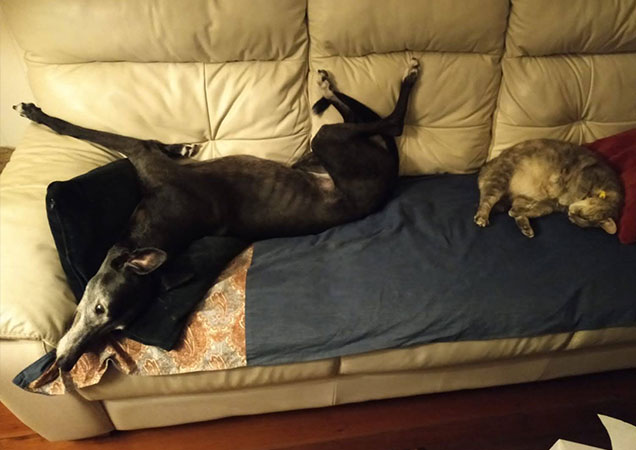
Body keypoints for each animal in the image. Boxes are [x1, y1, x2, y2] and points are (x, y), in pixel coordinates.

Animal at [15, 58, 420, 373]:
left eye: (109, 319)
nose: (64, 363)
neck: (160, 228)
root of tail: (388, 178)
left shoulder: (141, 154)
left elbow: (84, 129)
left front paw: (36, 113)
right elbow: (159, 143)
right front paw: (180, 145)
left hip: (331, 143)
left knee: (392, 124)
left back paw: (398, 77)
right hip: (324, 150)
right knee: (364, 120)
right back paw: (329, 87)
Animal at [474, 139, 623, 238]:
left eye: (576, 220)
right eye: (581, 215)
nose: (570, 213)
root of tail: (486, 166)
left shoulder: (550, 205)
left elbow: (535, 211)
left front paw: (519, 213)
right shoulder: (589, 173)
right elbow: (577, 190)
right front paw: (568, 199)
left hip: (522, 197)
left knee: (515, 209)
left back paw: (525, 227)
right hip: (500, 179)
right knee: (486, 202)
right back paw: (482, 218)